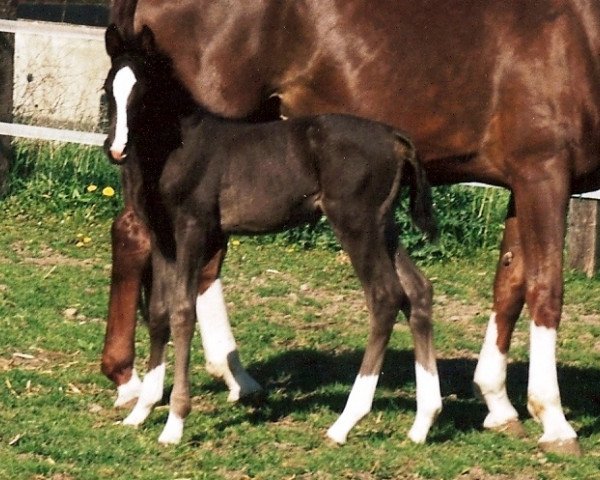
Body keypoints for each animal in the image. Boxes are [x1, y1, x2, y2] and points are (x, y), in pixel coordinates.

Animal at [104, 26, 440, 444]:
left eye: (143, 91)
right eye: (109, 89)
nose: (116, 149)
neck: (176, 149)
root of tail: (396, 137)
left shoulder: (194, 229)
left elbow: (183, 312)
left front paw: (175, 423)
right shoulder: (165, 237)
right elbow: (160, 312)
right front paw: (142, 410)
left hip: (356, 222)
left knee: (385, 296)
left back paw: (345, 422)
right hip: (383, 225)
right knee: (418, 290)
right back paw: (423, 421)